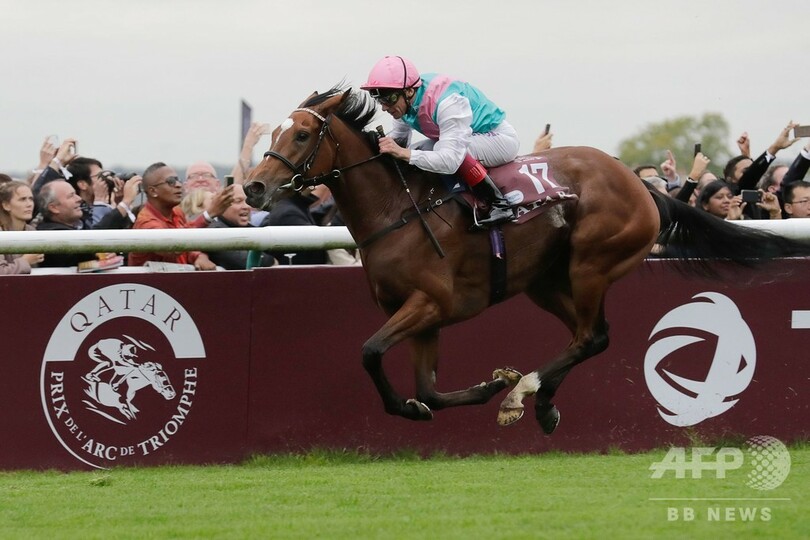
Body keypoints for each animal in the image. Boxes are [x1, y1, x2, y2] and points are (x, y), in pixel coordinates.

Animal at [245, 88, 808, 434]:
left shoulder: (429, 303)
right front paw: (478, 388)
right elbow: (428, 389)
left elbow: (368, 352)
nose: (254, 187)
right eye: (272, 134)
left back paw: (526, 394)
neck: (396, 210)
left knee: (591, 336)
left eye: (301, 134)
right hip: (545, 281)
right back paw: (538, 400)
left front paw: (491, 389)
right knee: (590, 336)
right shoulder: (421, 316)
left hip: (591, 263)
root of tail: (644, 187)